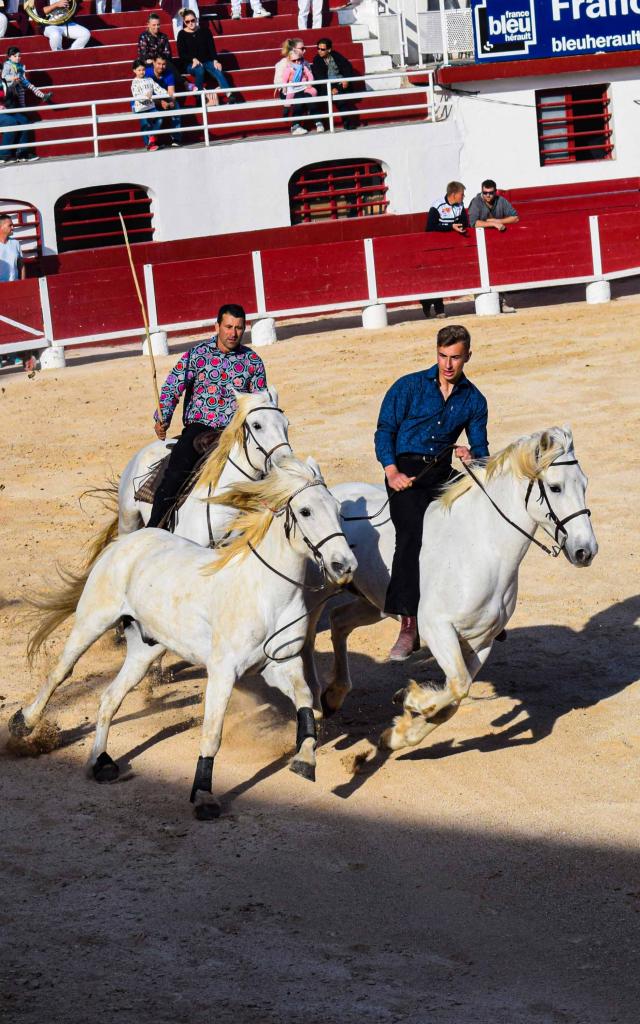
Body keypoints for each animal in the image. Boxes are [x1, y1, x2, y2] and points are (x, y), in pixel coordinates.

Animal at [9, 456, 356, 815]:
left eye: (337, 508)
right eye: (305, 511)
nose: (345, 565)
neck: (266, 591)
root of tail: (129, 540)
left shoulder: (279, 664)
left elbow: (304, 700)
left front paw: (305, 759)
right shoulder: (223, 672)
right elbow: (212, 733)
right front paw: (203, 794)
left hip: (144, 651)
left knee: (109, 698)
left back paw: (100, 762)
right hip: (93, 620)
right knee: (61, 671)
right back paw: (24, 723)